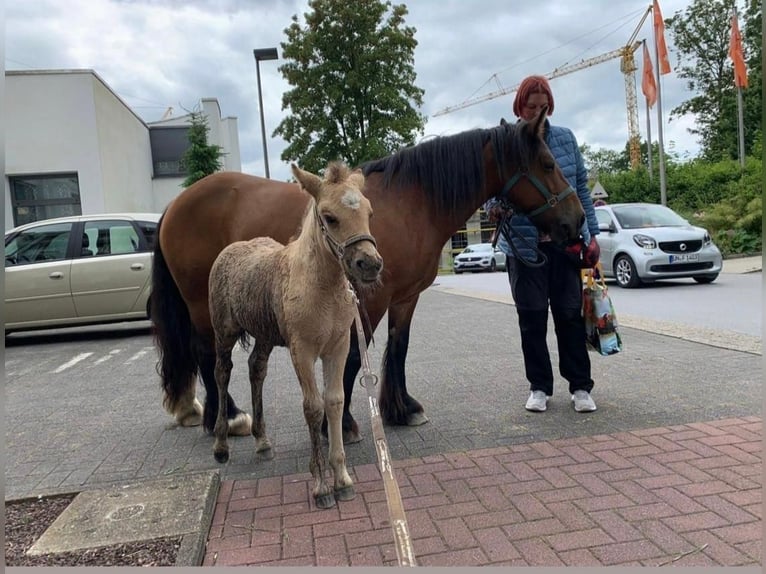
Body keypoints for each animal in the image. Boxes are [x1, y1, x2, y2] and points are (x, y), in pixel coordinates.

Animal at [154, 111, 588, 446]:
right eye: (548, 164)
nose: (577, 222)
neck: (411, 203)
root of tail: (174, 204)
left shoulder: (405, 297)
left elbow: (398, 348)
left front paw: (403, 409)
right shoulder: (370, 299)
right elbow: (350, 362)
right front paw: (343, 424)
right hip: (203, 303)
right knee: (208, 354)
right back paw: (227, 417)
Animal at [208, 161, 384, 508]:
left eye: (369, 212)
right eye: (329, 217)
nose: (370, 264)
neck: (323, 289)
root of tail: (231, 249)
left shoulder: (338, 347)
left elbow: (334, 401)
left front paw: (342, 480)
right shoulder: (301, 350)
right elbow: (313, 408)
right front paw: (321, 486)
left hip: (264, 335)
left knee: (256, 369)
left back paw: (262, 441)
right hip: (223, 331)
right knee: (222, 373)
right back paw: (221, 445)